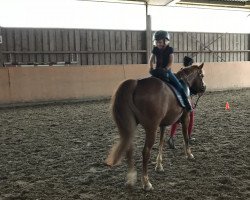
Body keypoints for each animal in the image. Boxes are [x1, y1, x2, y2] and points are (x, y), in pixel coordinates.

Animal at [105, 62, 205, 191]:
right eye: (201, 75)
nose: (204, 88)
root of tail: (136, 84)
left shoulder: (162, 124)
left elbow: (161, 143)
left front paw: (159, 165)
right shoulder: (185, 117)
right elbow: (185, 136)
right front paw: (189, 154)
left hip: (130, 127)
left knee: (129, 148)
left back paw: (131, 178)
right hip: (151, 128)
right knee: (146, 151)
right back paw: (146, 182)